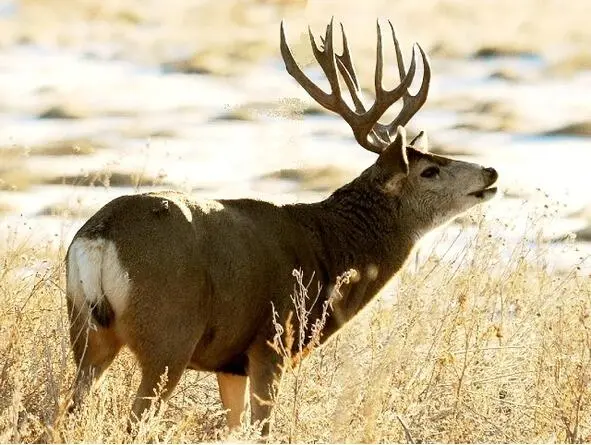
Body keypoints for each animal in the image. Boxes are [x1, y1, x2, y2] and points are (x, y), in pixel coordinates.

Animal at [65, 19, 500, 436]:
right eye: (429, 170)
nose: (491, 171)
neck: (329, 248)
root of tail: (100, 236)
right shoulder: (270, 343)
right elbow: (262, 429)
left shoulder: (230, 362)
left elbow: (234, 426)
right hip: (169, 333)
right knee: (134, 419)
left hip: (85, 330)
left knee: (69, 409)